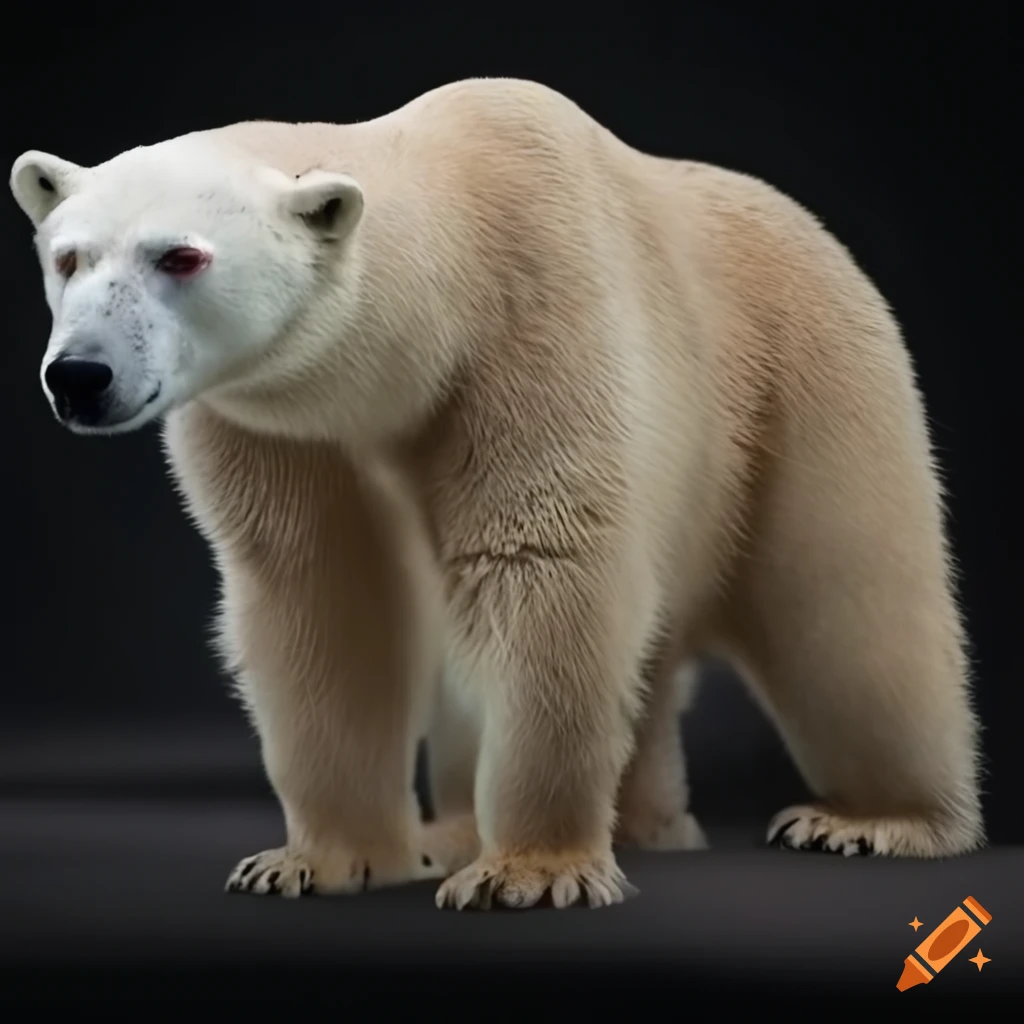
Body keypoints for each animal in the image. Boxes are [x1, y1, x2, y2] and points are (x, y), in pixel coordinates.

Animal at [10, 77, 983, 911]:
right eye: (68, 257)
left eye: (181, 256)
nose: (81, 375)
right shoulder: (288, 426)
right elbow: (324, 602)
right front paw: (316, 861)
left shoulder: (538, 317)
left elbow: (543, 564)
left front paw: (529, 873)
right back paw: (493, 829)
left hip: (799, 386)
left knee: (847, 608)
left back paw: (873, 819)